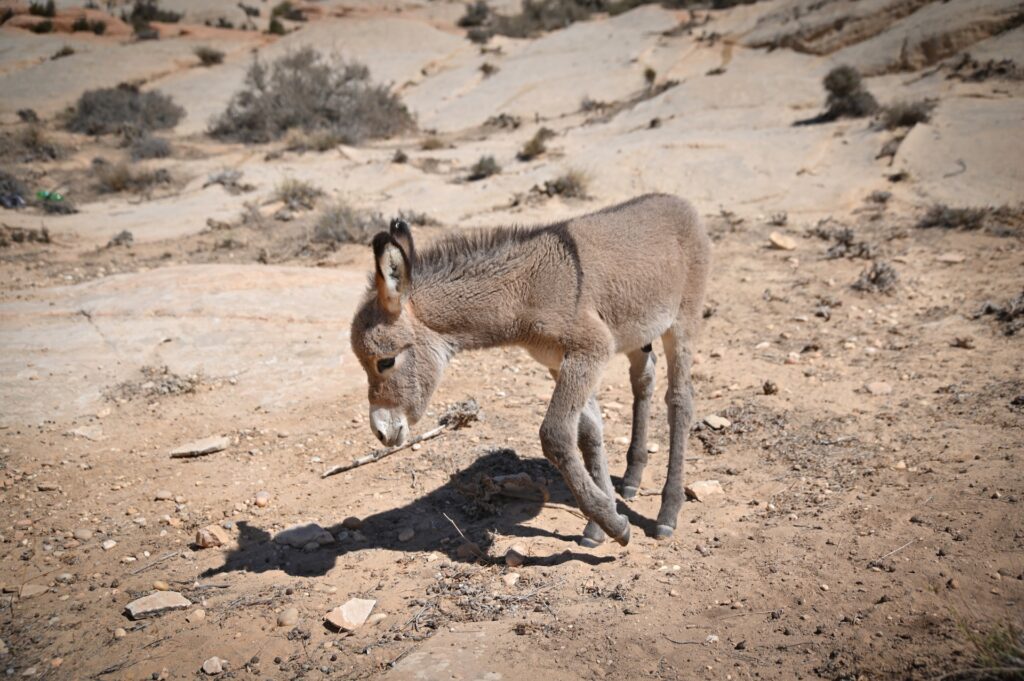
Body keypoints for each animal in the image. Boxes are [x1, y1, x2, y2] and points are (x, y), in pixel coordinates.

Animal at [352, 193, 712, 544]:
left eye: (385, 361)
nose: (381, 432)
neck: (525, 292)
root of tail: (678, 200)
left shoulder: (591, 349)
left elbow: (555, 434)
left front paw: (614, 525)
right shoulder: (557, 362)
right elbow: (589, 432)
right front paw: (600, 522)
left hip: (683, 321)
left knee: (680, 401)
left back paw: (668, 512)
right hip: (638, 331)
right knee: (644, 378)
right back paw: (633, 476)